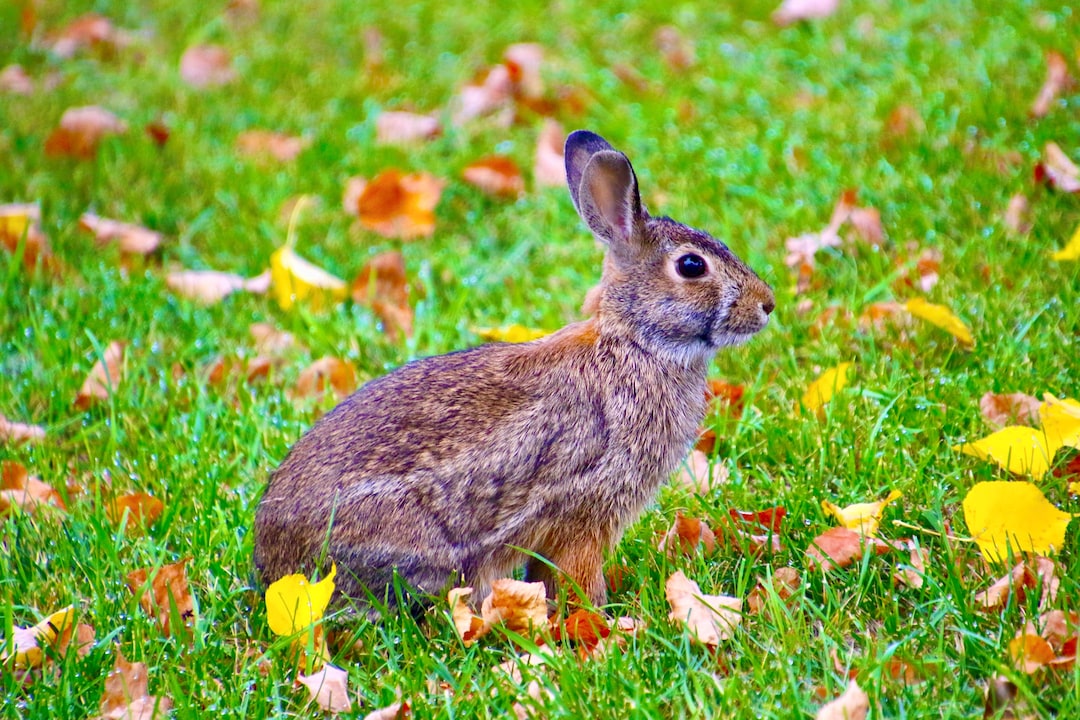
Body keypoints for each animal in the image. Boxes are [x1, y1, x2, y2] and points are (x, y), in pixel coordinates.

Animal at [253, 130, 775, 613]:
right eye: (691, 266)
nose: (767, 305)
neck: (636, 344)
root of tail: (271, 566)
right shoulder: (585, 512)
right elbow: (577, 573)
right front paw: (598, 616)